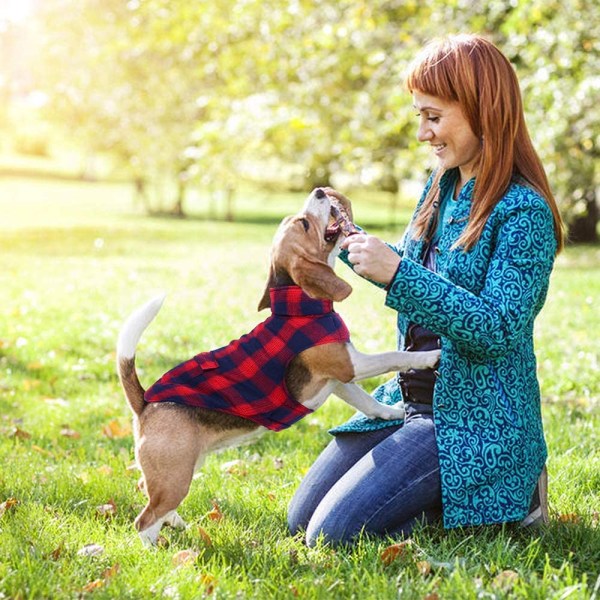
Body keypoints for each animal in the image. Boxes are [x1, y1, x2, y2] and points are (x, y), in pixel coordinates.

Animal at [116, 190, 440, 548]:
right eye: (304, 224)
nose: (320, 191)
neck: (300, 307)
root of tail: (146, 402)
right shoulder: (350, 365)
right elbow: (394, 356)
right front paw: (430, 356)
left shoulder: (337, 380)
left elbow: (368, 402)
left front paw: (392, 413)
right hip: (175, 475)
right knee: (145, 519)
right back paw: (156, 550)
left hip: (182, 466)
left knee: (147, 492)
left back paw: (176, 522)